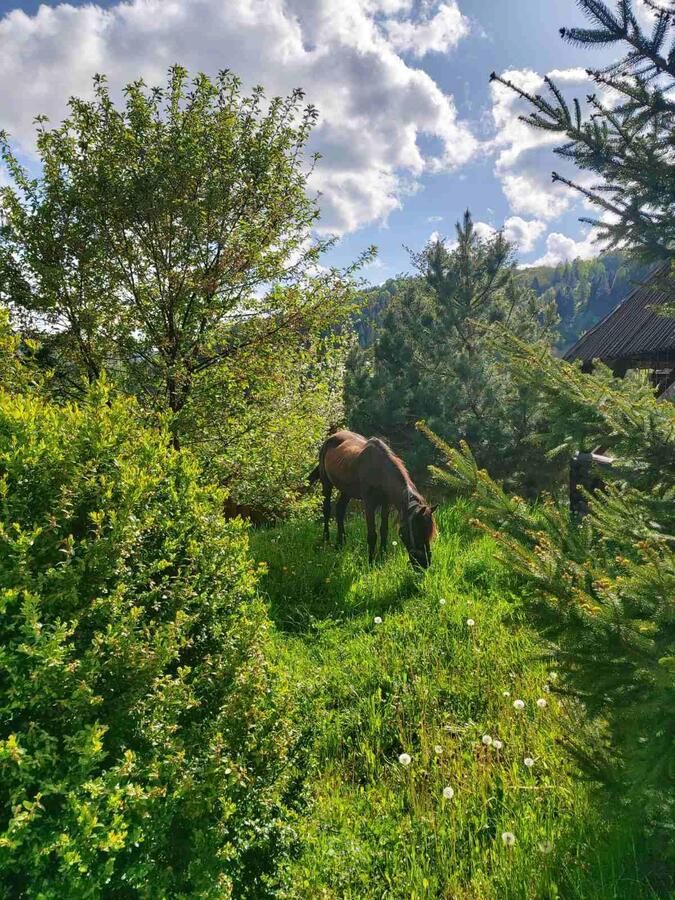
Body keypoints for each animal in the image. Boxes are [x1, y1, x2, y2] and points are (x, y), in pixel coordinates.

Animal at [312, 430, 438, 568]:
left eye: (428, 532)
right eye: (417, 531)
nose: (424, 564)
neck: (380, 472)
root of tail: (332, 437)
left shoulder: (386, 505)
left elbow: (384, 530)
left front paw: (382, 556)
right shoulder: (369, 505)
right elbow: (372, 534)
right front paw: (371, 562)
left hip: (347, 491)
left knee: (340, 510)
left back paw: (340, 543)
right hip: (326, 483)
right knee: (327, 510)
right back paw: (326, 540)